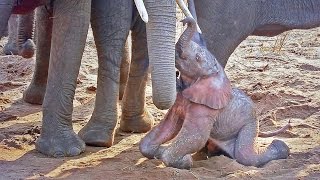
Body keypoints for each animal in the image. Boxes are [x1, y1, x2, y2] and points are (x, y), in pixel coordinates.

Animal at [140, 17, 290, 169]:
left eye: (197, 58)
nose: (184, 20)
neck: (216, 72)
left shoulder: (206, 108)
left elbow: (196, 136)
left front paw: (186, 161)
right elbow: (168, 126)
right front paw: (162, 152)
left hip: (249, 124)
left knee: (245, 155)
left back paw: (280, 146)